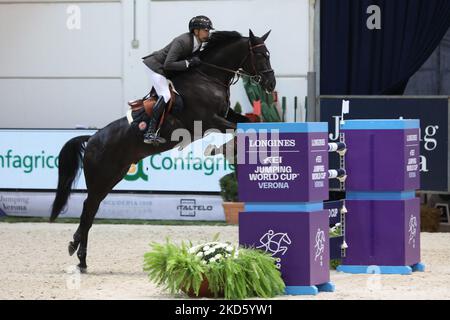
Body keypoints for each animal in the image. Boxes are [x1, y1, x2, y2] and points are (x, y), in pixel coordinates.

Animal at [49, 30, 274, 272]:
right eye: (260, 55)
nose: (271, 84)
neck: (208, 77)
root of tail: (91, 139)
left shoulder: (226, 114)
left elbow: (252, 122)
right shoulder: (209, 120)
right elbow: (238, 129)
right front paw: (220, 149)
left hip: (112, 177)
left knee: (90, 210)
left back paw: (77, 251)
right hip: (100, 178)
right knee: (88, 210)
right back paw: (79, 255)